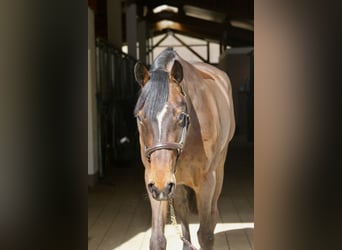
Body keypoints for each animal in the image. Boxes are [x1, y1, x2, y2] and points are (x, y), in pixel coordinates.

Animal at [134, 47, 235, 249]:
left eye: (181, 116)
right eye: (140, 117)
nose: (161, 184)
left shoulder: (206, 182)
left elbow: (205, 235)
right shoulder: (153, 181)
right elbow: (157, 239)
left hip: (218, 169)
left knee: (213, 212)